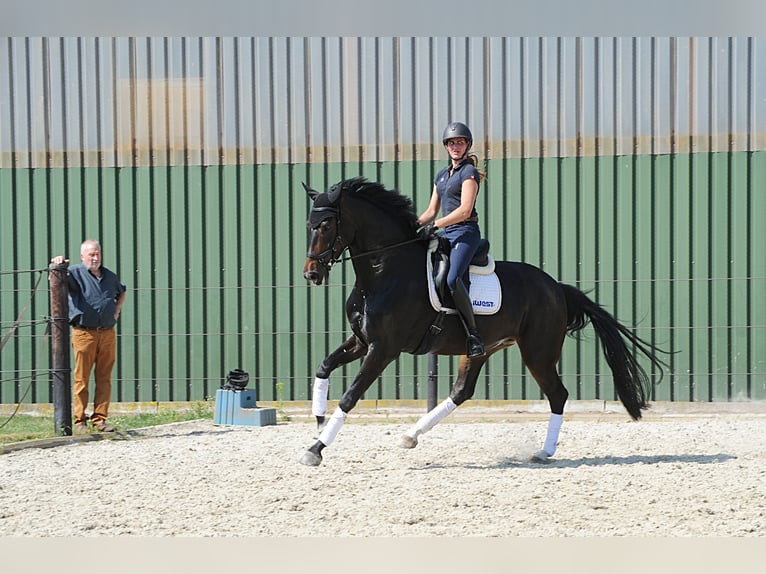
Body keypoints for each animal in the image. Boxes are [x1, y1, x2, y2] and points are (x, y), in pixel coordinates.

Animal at [300, 177, 664, 468]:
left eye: (327, 226)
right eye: (308, 225)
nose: (311, 275)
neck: (383, 271)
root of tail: (555, 287)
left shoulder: (382, 349)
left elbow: (350, 396)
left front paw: (315, 449)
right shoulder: (362, 341)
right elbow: (323, 367)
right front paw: (318, 419)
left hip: (538, 353)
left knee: (558, 394)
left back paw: (544, 452)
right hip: (482, 348)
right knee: (462, 391)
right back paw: (411, 435)